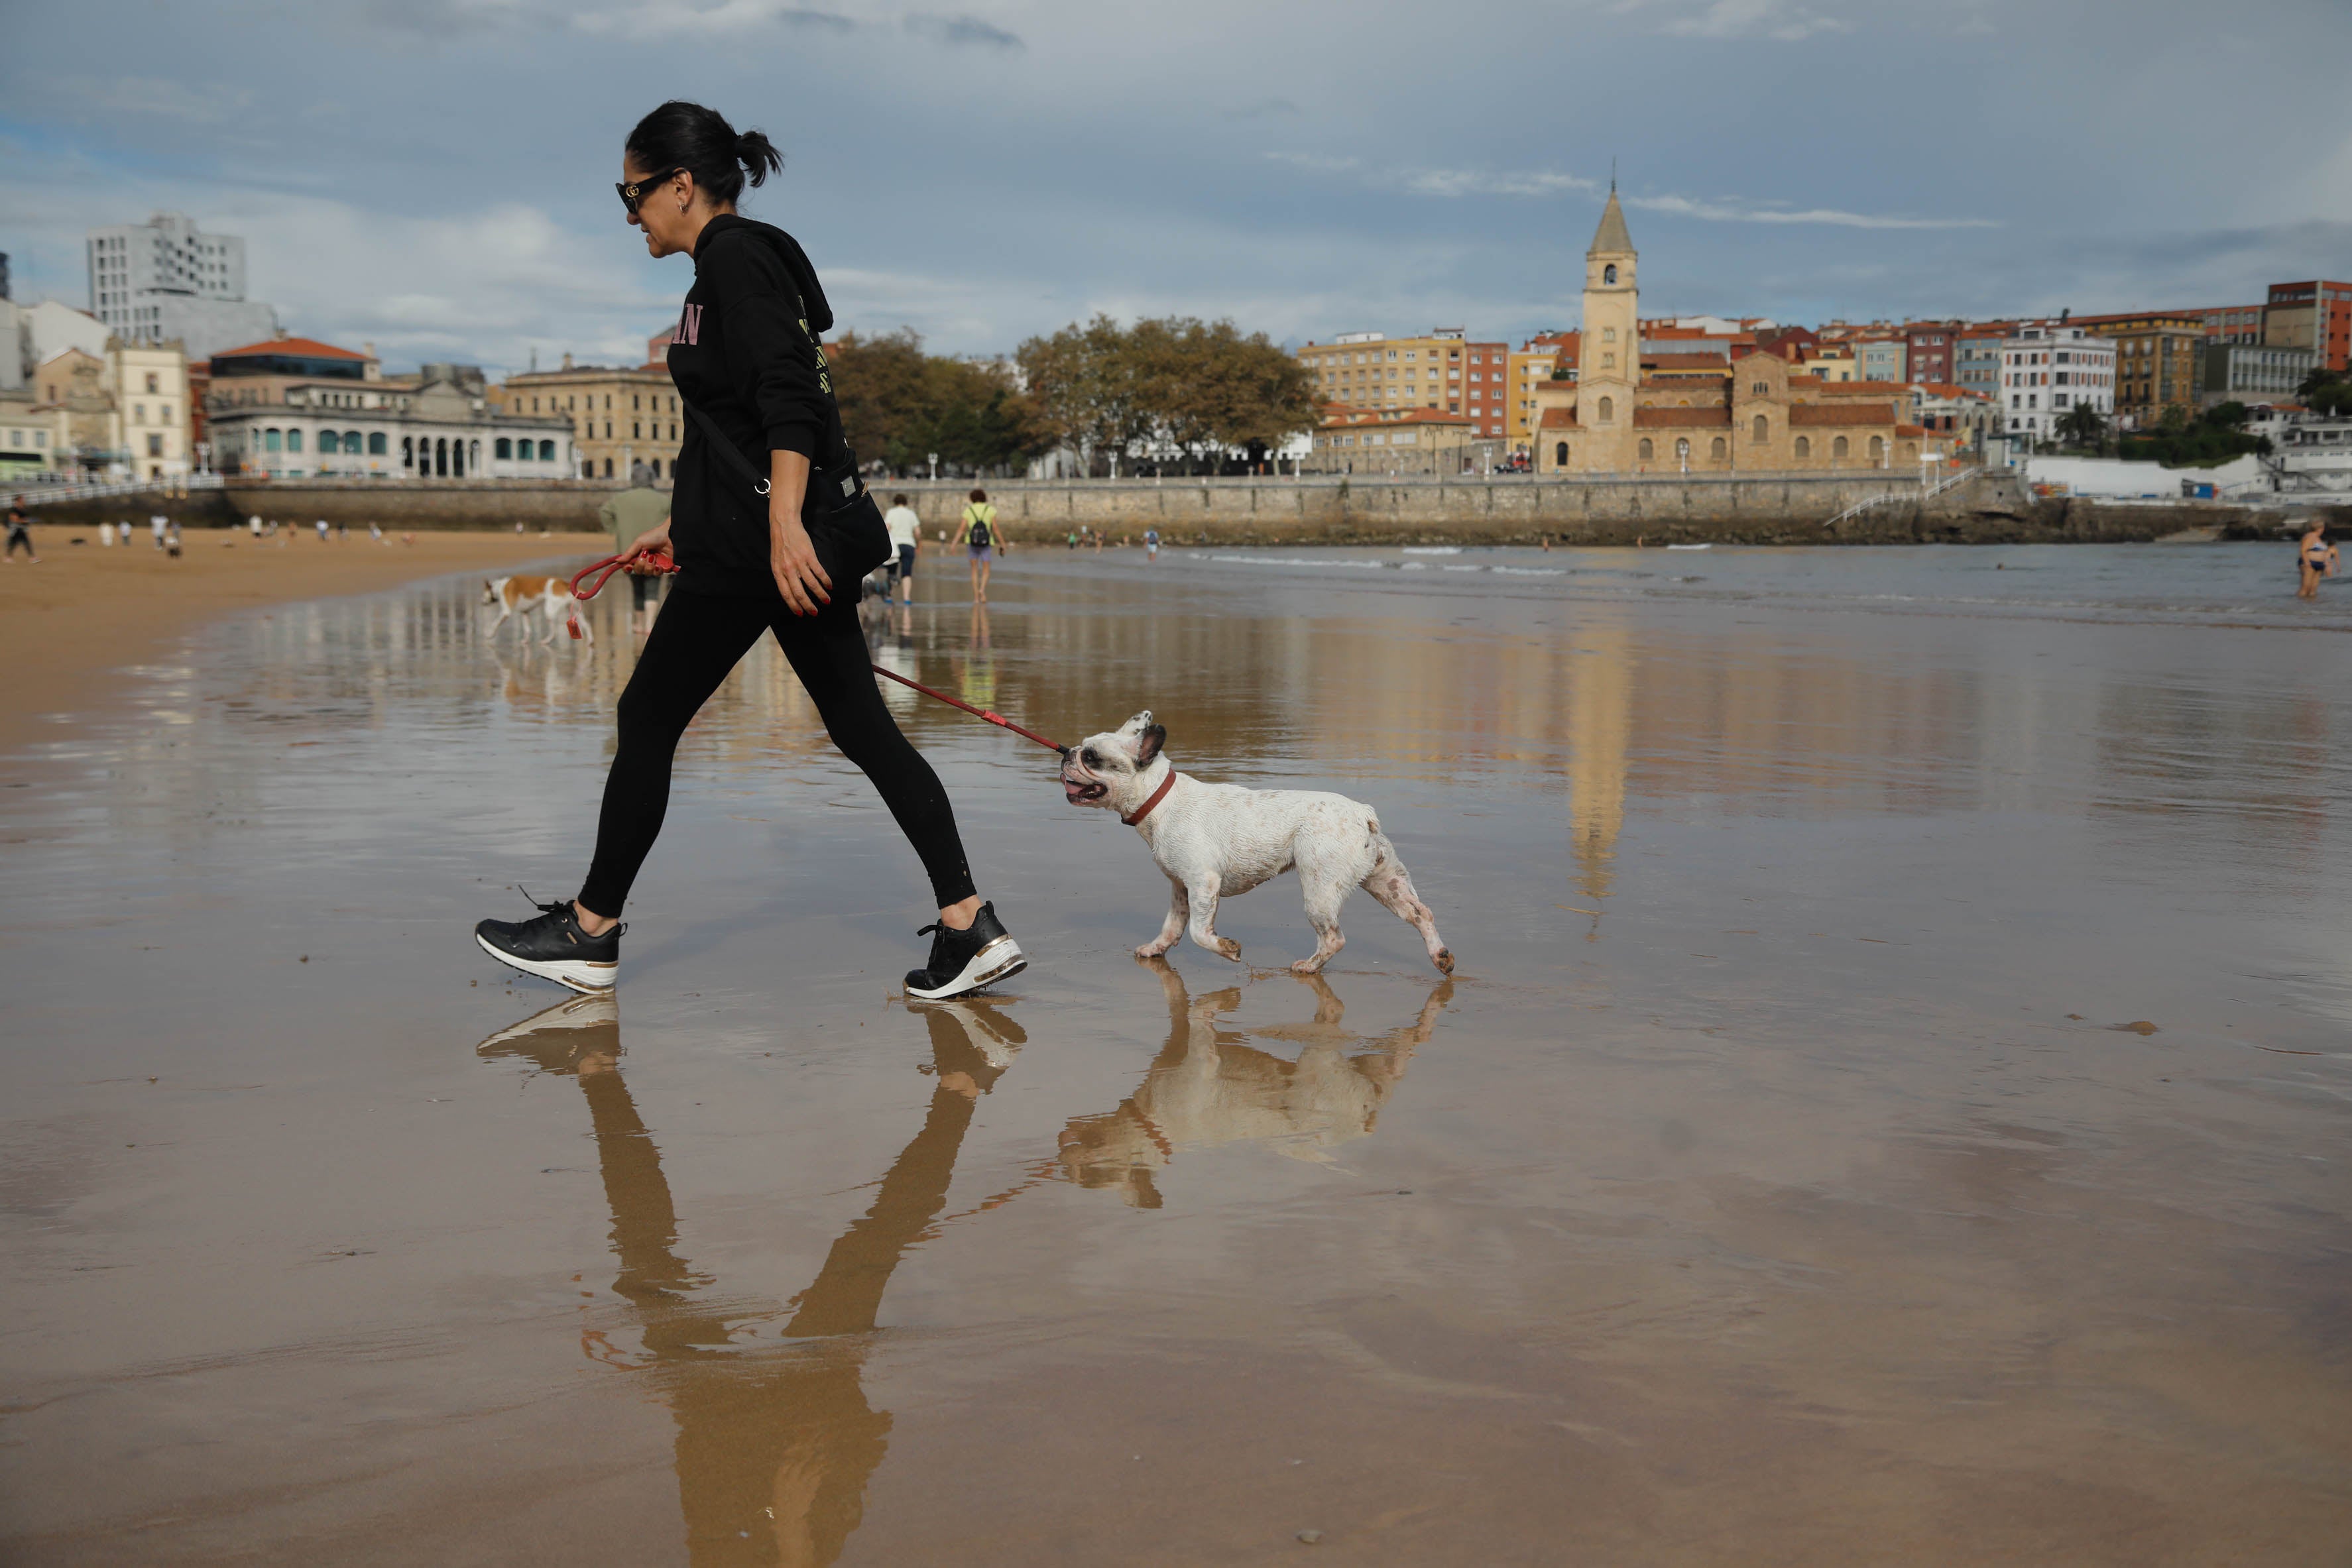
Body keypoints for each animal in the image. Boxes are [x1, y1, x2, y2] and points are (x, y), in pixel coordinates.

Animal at [482, 576, 593, 644]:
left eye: (483, 593)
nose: (481, 602)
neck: (500, 586)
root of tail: (564, 583)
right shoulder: (525, 612)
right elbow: (527, 630)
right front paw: (525, 641)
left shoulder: (506, 612)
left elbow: (494, 624)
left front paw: (489, 635)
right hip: (575, 611)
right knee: (586, 625)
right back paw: (591, 642)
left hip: (549, 611)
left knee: (554, 631)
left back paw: (547, 641)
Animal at [1063, 714, 1448, 982]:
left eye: (1092, 757)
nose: (1069, 754)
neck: (1159, 798)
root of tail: (1362, 814)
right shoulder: (1181, 887)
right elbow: (1173, 926)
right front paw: (1156, 949)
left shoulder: (1204, 883)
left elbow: (1199, 932)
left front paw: (1228, 949)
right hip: (1386, 882)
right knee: (1421, 914)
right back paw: (1441, 957)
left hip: (1320, 889)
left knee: (1333, 938)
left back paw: (1308, 967)